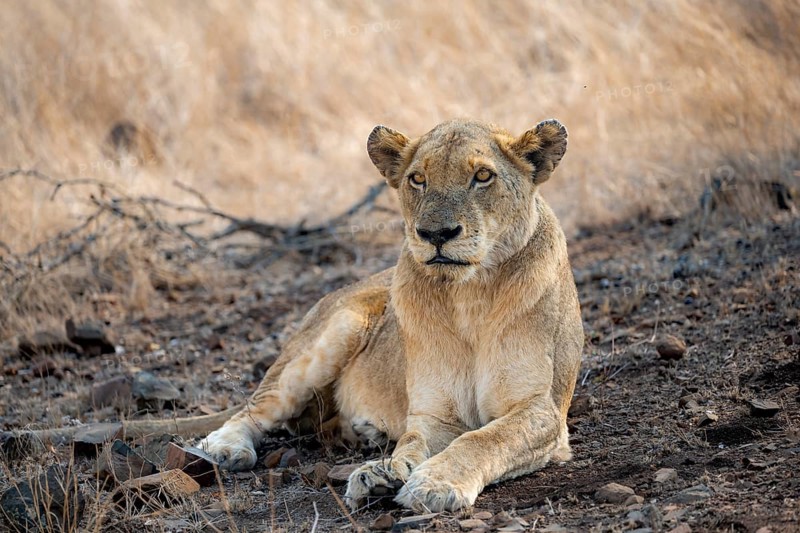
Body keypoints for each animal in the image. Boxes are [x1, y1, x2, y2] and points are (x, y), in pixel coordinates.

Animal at [197, 117, 584, 512]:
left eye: (483, 176)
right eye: (418, 179)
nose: (435, 234)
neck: (469, 295)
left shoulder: (541, 410)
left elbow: (483, 440)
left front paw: (430, 483)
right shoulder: (434, 414)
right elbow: (413, 442)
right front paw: (386, 473)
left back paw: (365, 434)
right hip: (335, 333)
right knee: (254, 409)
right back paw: (227, 448)